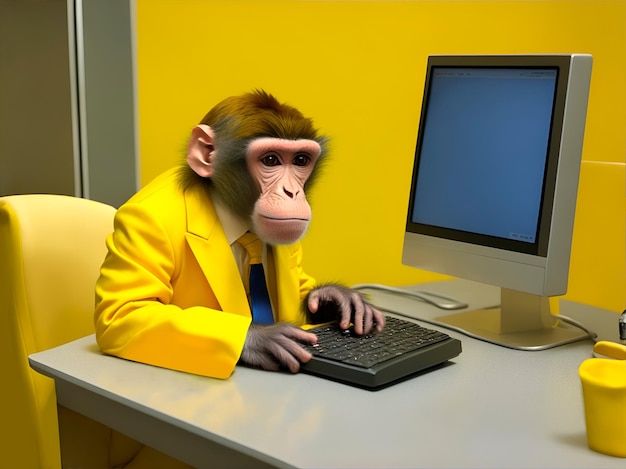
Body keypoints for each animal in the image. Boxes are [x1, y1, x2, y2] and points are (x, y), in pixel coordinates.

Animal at [94, 89, 382, 378]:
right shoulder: (147, 223)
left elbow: (303, 287)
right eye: (270, 160)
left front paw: (337, 298)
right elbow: (125, 311)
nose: (292, 192)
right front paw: (262, 338)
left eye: (300, 160)